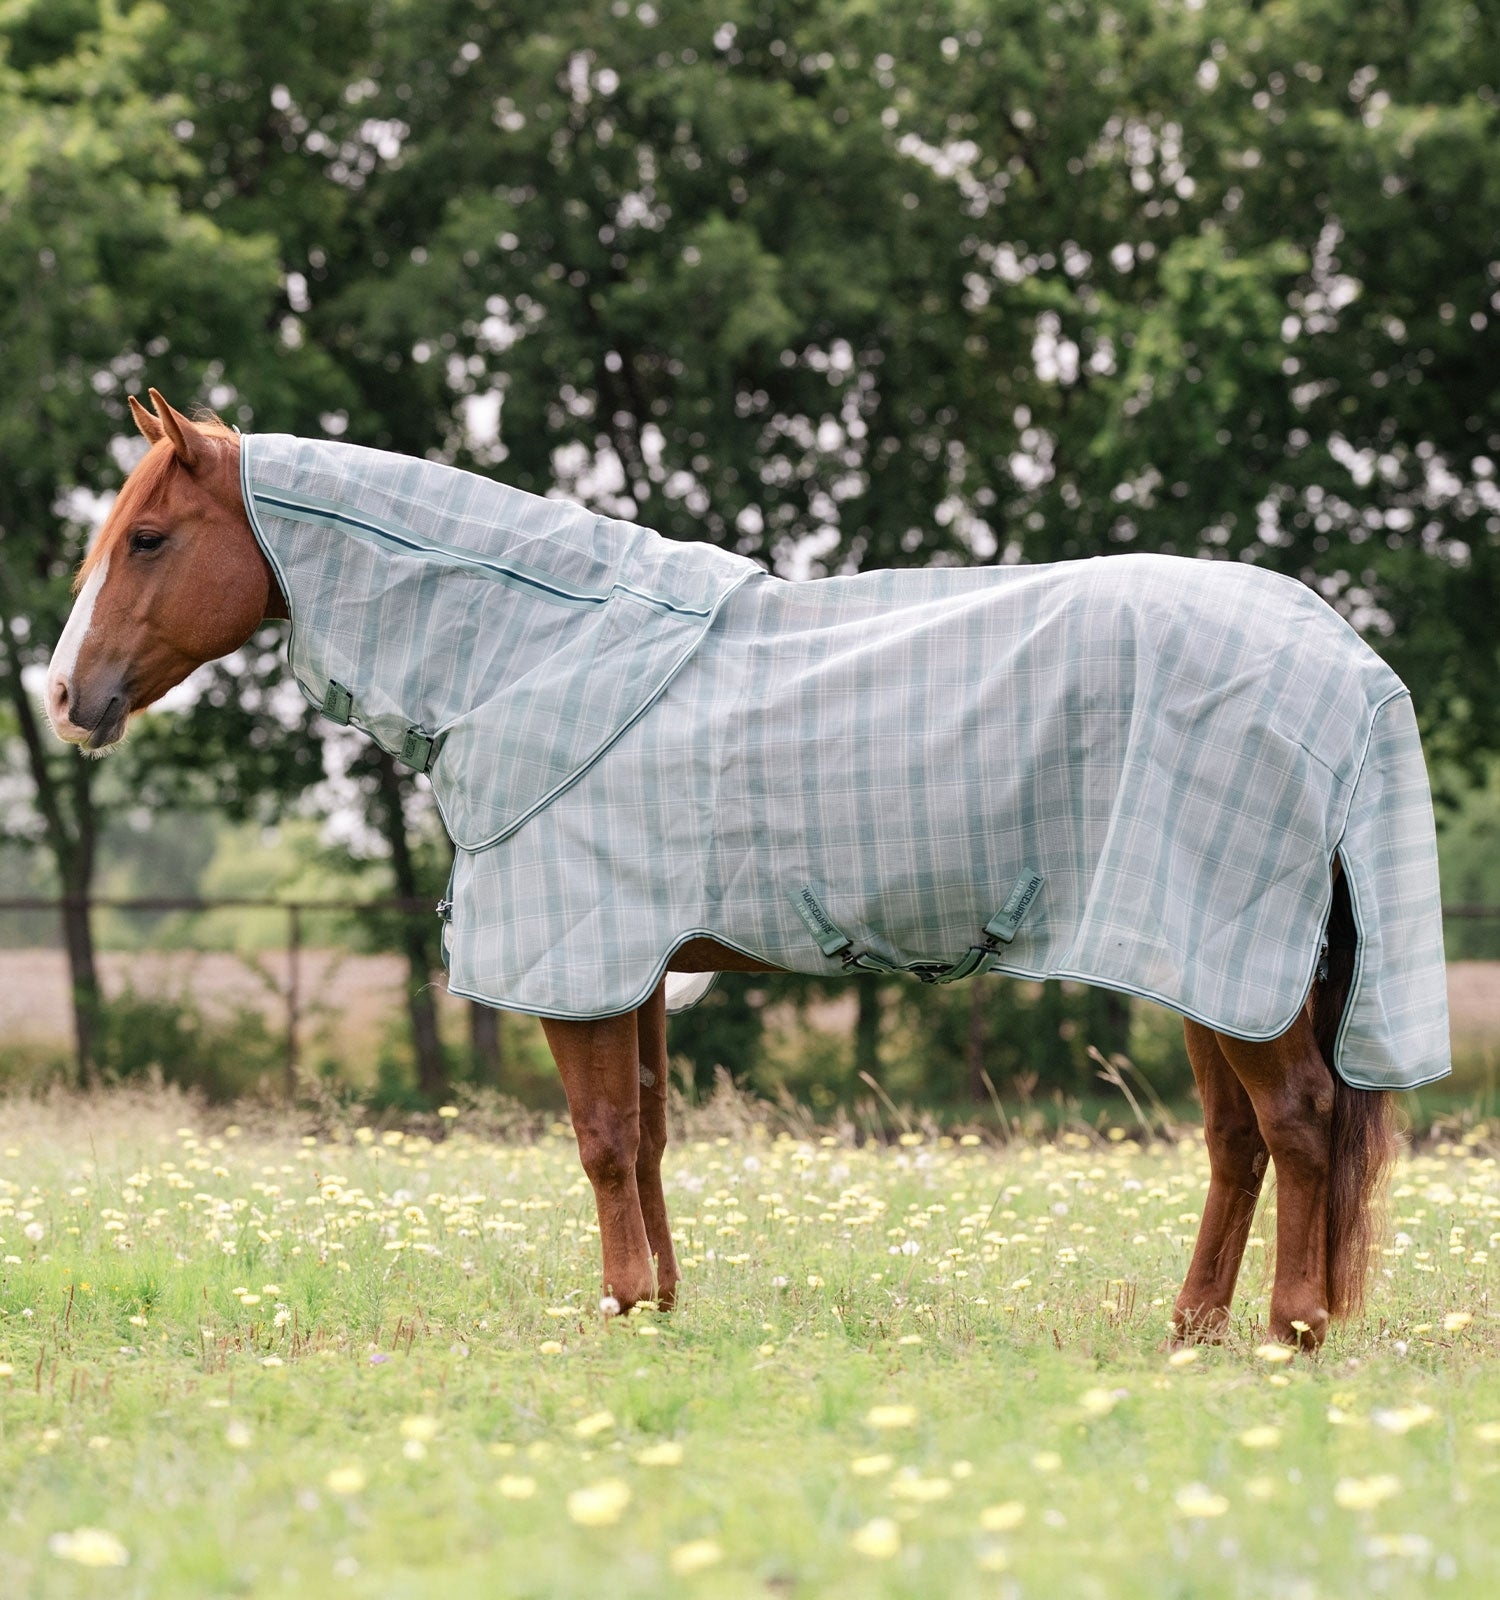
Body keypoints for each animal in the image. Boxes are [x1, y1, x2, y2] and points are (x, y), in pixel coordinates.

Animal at [46, 389, 1446, 1350]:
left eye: (151, 537)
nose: (65, 696)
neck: (537, 652)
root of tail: (1347, 662)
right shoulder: (641, 969)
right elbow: (650, 1132)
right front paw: (660, 1303)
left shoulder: (584, 958)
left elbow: (604, 1137)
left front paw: (619, 1307)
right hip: (1205, 958)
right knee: (1240, 1141)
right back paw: (1192, 1328)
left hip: (1227, 953)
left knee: (1299, 1121)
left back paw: (1293, 1330)